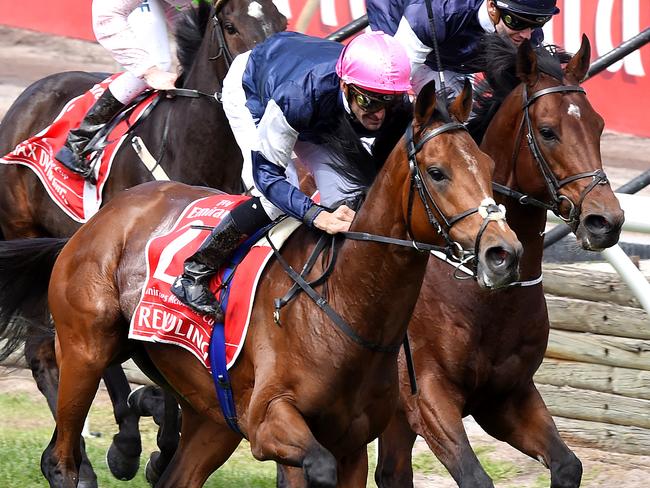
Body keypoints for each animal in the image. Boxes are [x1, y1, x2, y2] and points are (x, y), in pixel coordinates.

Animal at [0, 0, 286, 484]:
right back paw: (95, 456)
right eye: (231, 26)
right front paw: (144, 445)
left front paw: (162, 448)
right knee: (53, 355)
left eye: (281, 23)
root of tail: (29, 93)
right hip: (41, 239)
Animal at [0, 82, 520, 486]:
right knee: (59, 458)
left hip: (213, 415)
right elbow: (316, 467)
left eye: (489, 167)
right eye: (437, 172)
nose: (504, 254)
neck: (342, 303)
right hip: (86, 349)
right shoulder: (271, 421)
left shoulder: (351, 444)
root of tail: (97, 221)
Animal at [370, 35, 624, 488]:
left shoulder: (507, 397)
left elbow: (568, 464)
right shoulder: (428, 396)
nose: (605, 222)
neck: (485, 294)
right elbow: (475, 477)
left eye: (597, 125)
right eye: (548, 131)